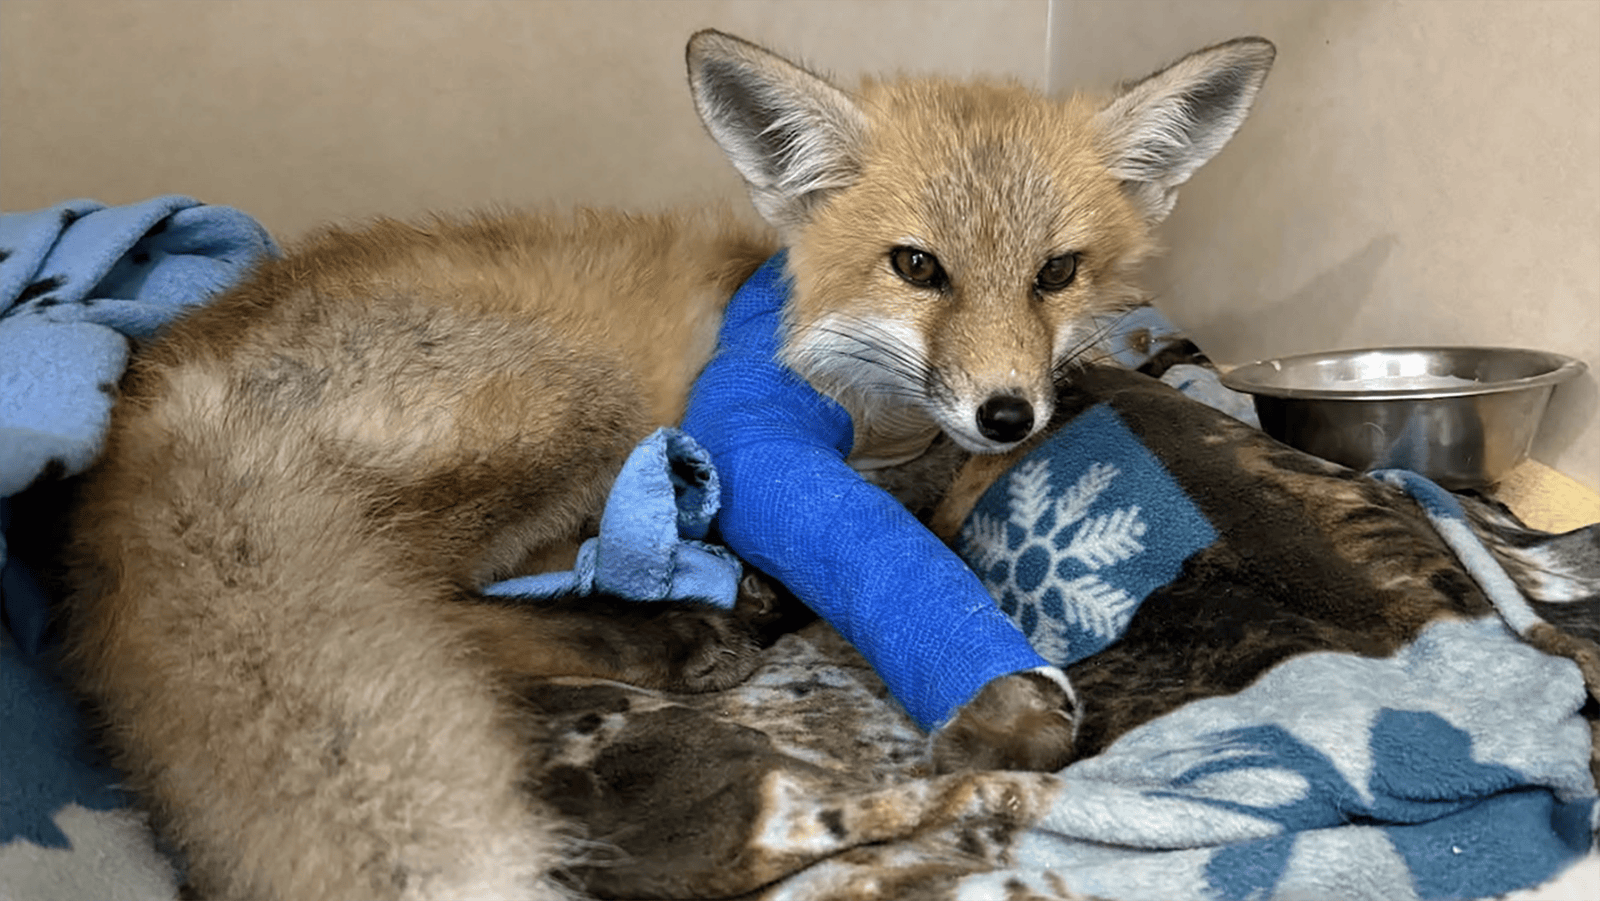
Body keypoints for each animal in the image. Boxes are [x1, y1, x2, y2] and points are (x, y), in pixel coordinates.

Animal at [55, 28, 1273, 901]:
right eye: (918, 267)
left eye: (1057, 272)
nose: (1010, 413)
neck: (852, 383)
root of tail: (149, 399)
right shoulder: (752, 439)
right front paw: (1003, 700)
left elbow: (946, 490)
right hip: (578, 403)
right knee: (437, 610)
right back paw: (665, 635)